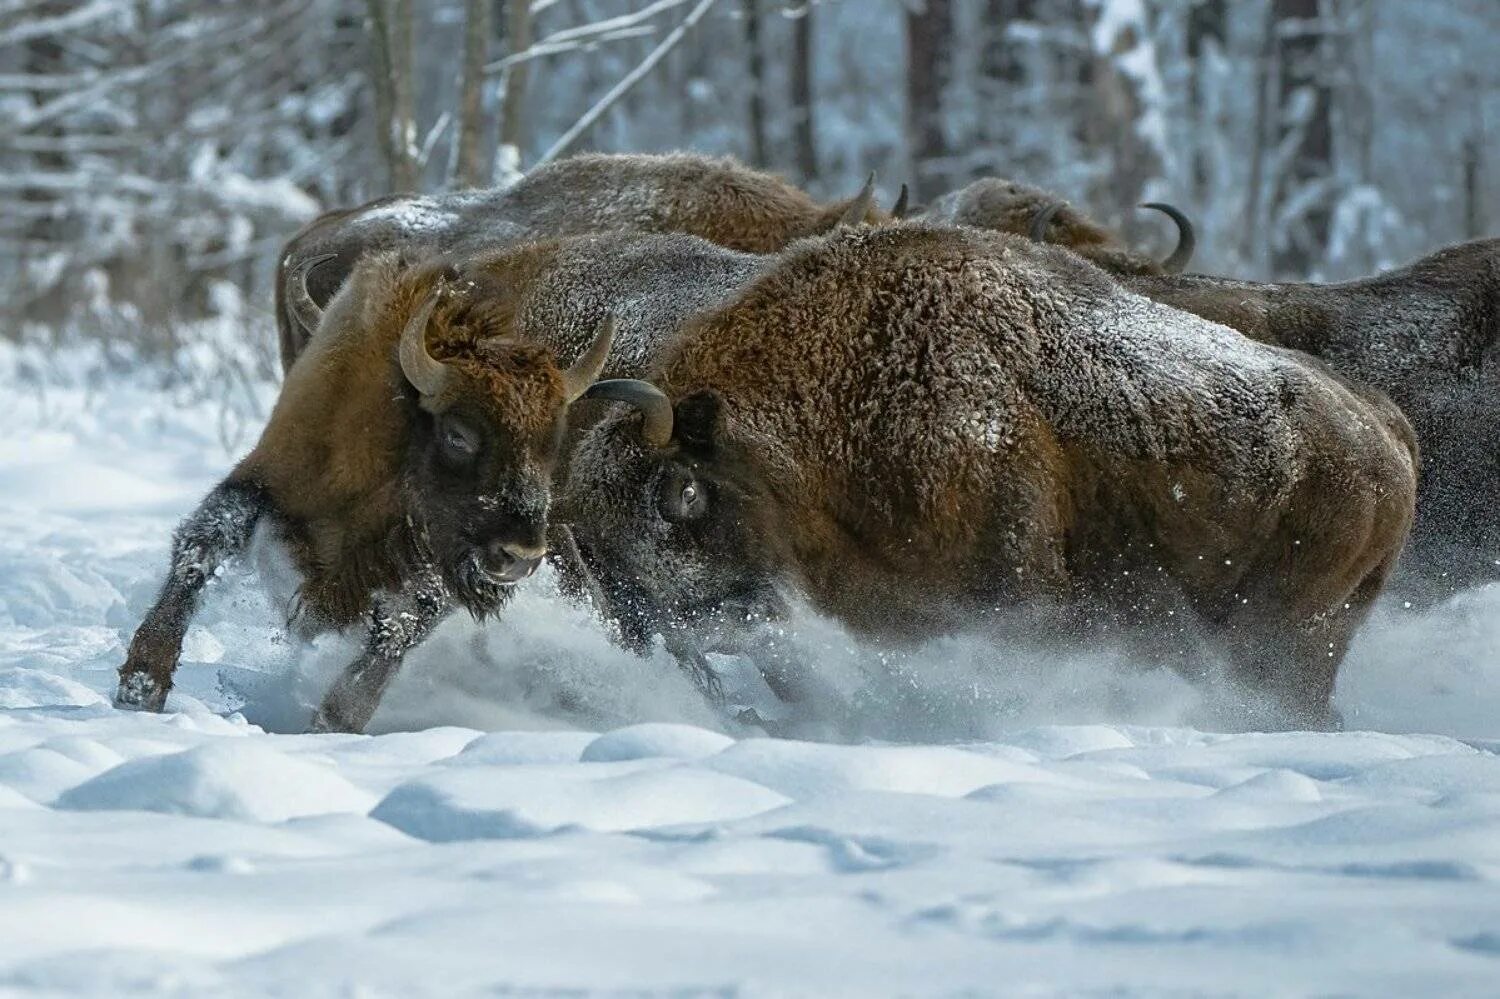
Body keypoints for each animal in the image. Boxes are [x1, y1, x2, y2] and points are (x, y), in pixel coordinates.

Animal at [118, 234, 768, 732]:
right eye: (458, 434)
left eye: (553, 442)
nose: (518, 555)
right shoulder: (269, 476)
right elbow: (205, 542)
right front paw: (140, 687)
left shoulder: (434, 569)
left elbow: (400, 628)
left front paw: (335, 721)